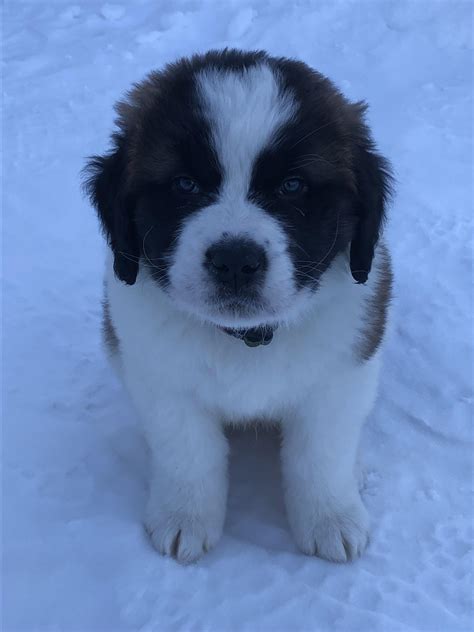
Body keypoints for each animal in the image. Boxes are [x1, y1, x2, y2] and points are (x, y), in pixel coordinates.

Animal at [84, 48, 392, 564]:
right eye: (185, 185)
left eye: (293, 187)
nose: (234, 261)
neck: (247, 338)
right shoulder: (160, 379)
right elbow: (187, 453)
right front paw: (184, 517)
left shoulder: (340, 376)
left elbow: (321, 454)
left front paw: (331, 518)